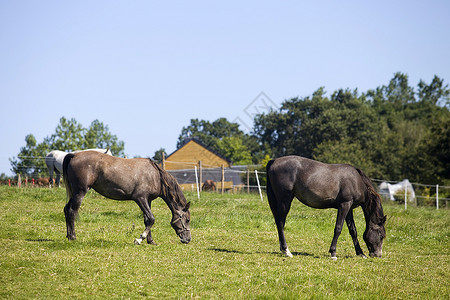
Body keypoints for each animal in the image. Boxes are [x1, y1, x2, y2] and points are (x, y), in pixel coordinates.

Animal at [62, 151, 191, 245]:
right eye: (187, 220)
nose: (188, 239)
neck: (156, 176)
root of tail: (74, 155)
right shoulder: (140, 199)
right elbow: (151, 219)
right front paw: (139, 239)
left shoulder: (148, 200)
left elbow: (147, 220)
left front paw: (150, 241)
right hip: (80, 192)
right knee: (72, 211)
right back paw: (73, 237)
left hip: (75, 193)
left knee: (67, 210)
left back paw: (68, 235)